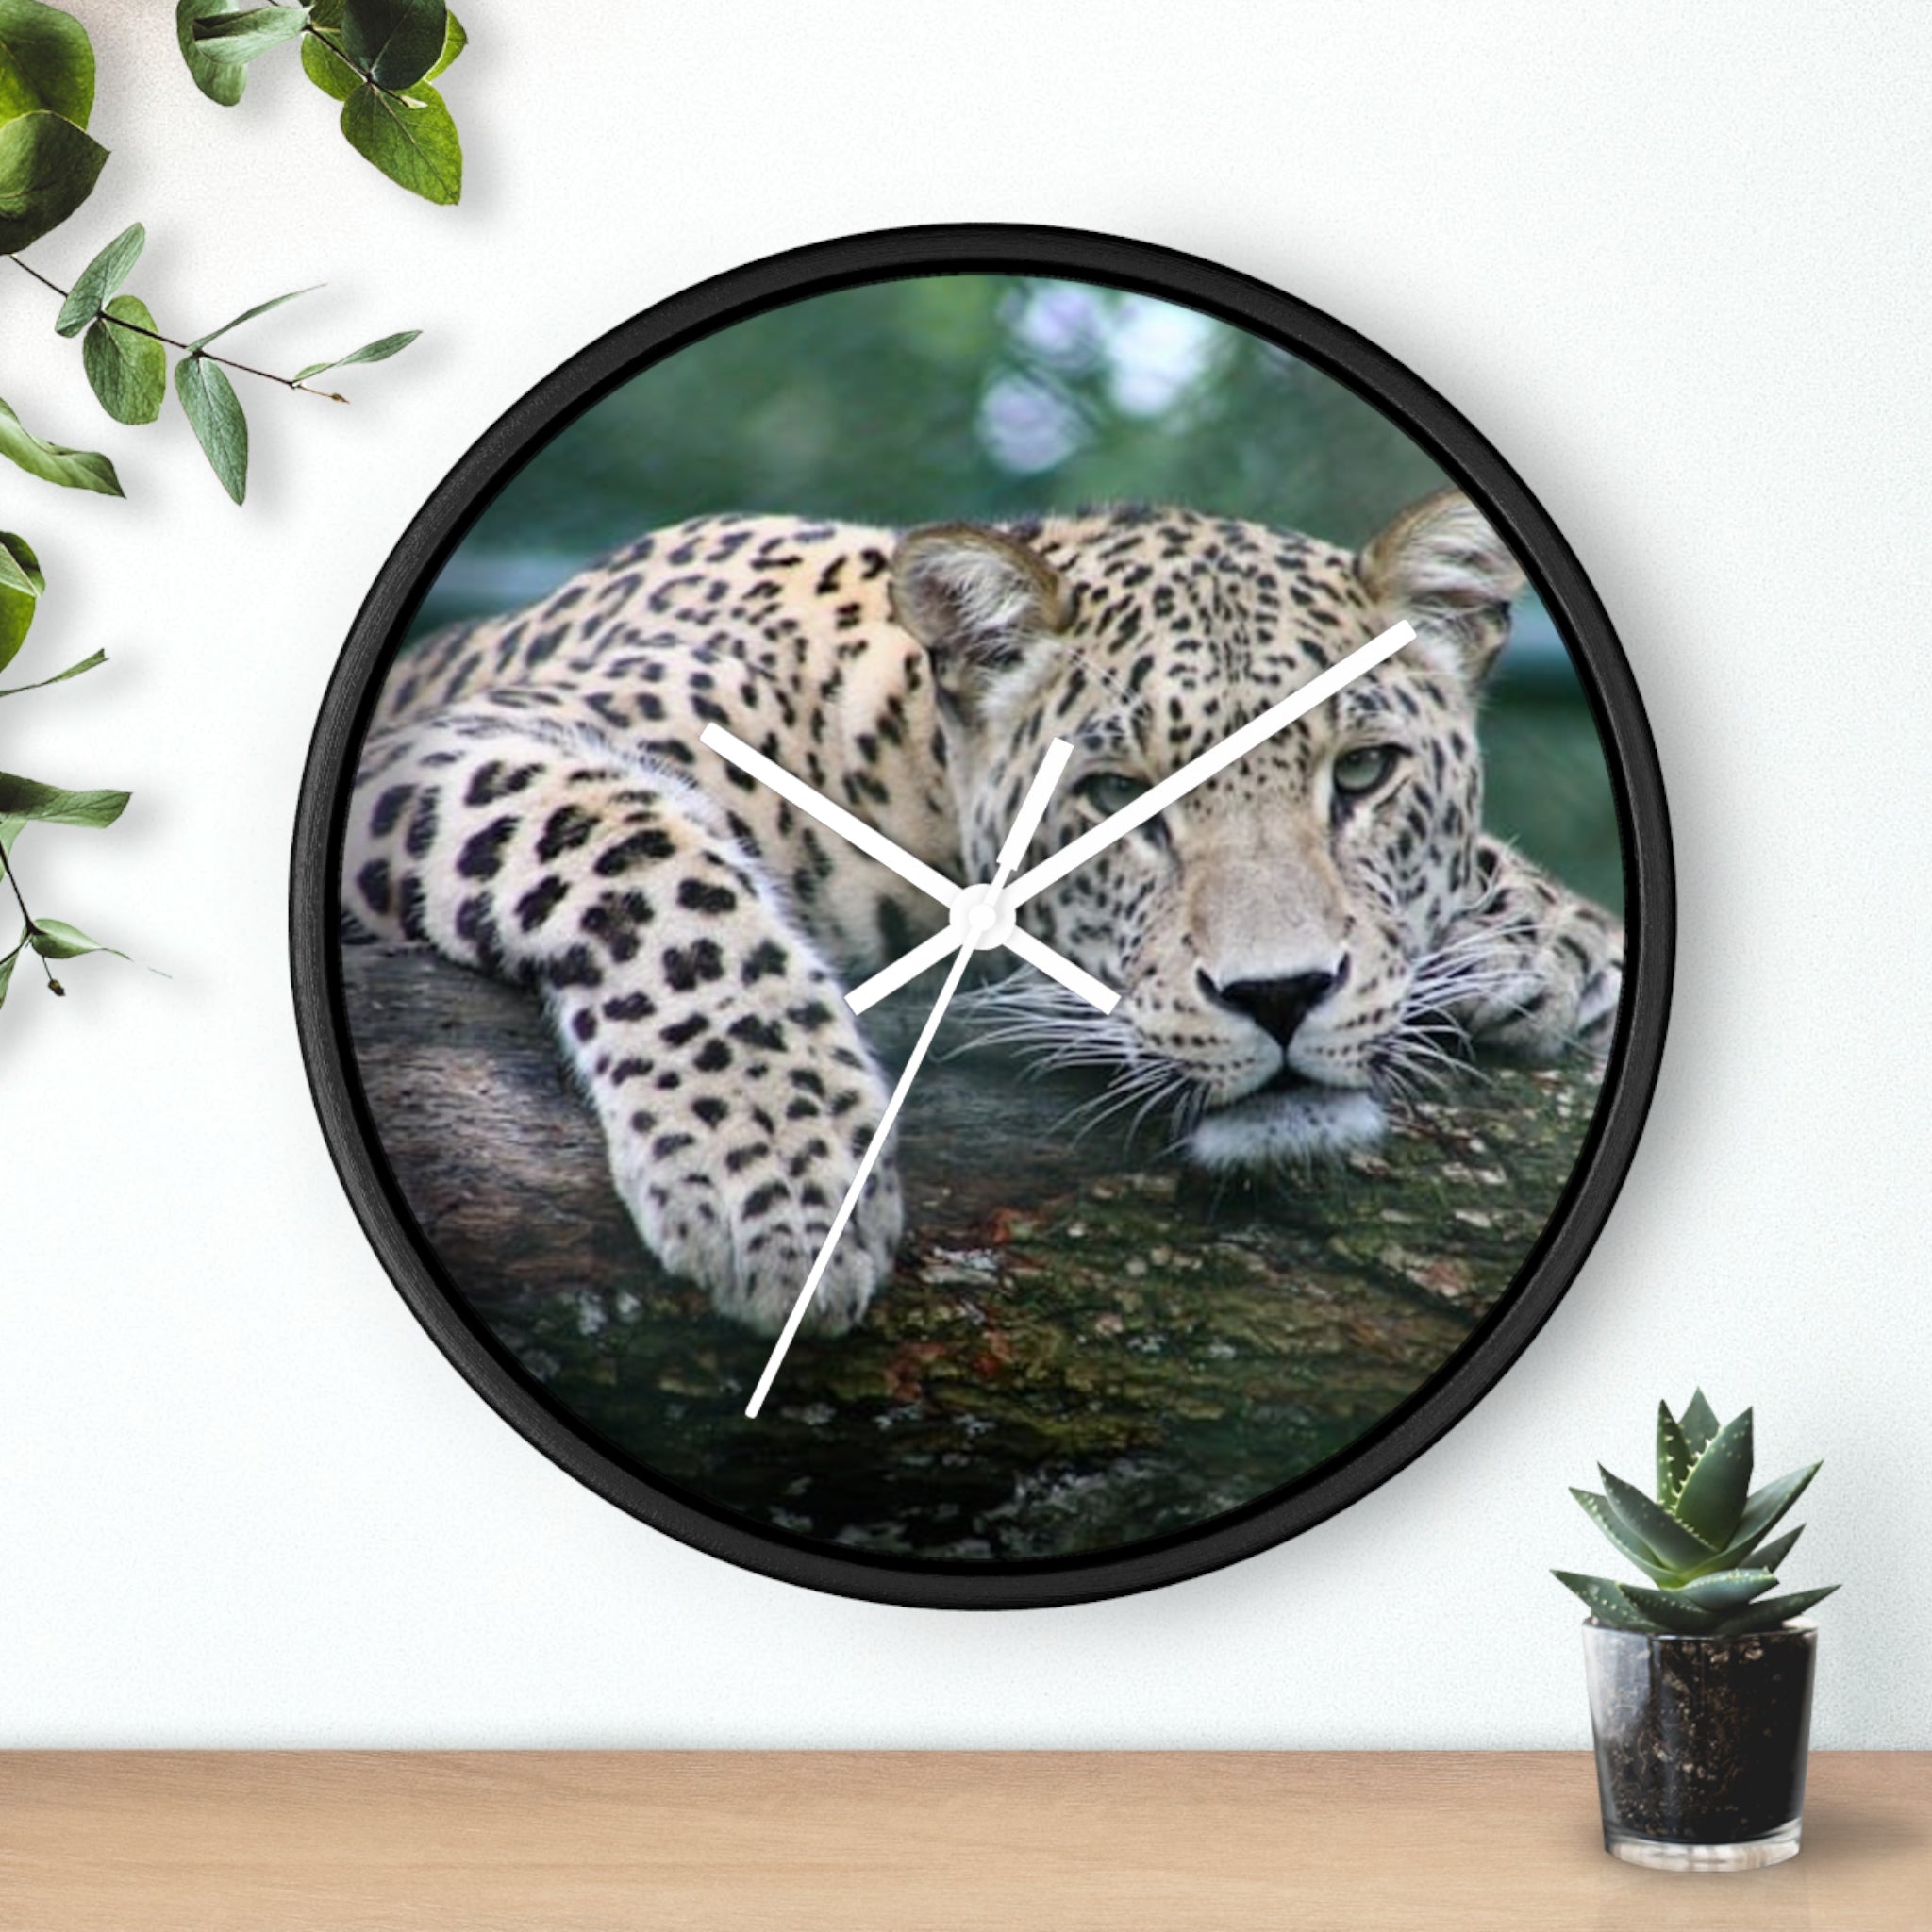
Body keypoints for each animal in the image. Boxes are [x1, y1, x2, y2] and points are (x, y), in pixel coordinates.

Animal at [342, 490, 1624, 1337]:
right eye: (1112, 797)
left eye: (1360, 772)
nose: (1279, 995)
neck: (903, 764)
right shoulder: (451, 750)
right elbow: (654, 862)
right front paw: (779, 1176)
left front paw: (1548, 938)